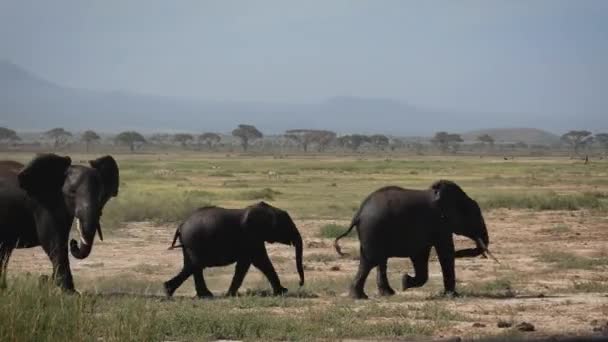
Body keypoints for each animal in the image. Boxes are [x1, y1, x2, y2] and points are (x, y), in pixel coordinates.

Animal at [0, 154, 119, 292]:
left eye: (100, 194)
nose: (74, 243)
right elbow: (52, 241)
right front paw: (70, 293)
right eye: (72, 192)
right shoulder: (43, 205)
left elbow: (60, 241)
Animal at [164, 202, 304, 298]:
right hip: (194, 241)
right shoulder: (250, 236)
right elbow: (259, 262)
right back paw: (171, 291)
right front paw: (282, 292)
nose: (300, 284)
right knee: (195, 265)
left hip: (189, 243)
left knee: (193, 266)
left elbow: (253, 263)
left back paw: (201, 295)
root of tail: (181, 225)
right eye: (286, 225)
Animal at [334, 180, 496, 298]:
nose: (461, 253)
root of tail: (358, 214)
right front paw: (451, 295)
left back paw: (386, 294)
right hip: (373, 229)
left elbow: (421, 256)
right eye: (473, 215)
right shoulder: (439, 223)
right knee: (370, 261)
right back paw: (360, 297)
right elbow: (445, 253)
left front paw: (405, 282)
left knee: (379, 260)